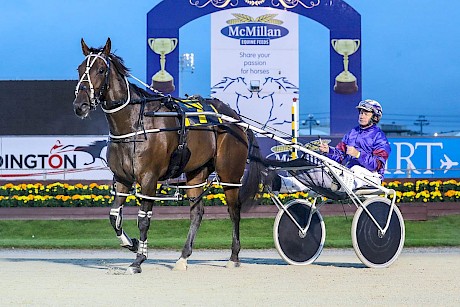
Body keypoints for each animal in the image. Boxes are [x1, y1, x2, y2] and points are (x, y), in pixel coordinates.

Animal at [73, 38, 262, 274]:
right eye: (80, 69)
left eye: (100, 69)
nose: (80, 105)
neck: (135, 123)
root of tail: (235, 118)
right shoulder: (122, 179)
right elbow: (114, 217)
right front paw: (132, 243)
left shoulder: (149, 179)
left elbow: (143, 220)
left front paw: (139, 260)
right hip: (196, 172)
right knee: (197, 212)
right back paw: (183, 257)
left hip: (230, 173)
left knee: (234, 209)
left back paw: (234, 256)